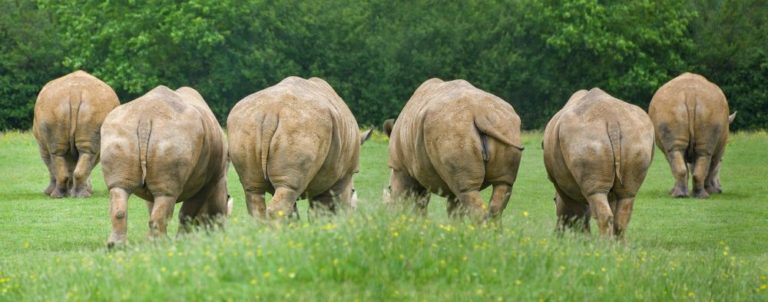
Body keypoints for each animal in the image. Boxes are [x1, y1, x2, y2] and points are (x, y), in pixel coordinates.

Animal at [33, 70, 120, 198]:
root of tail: (75, 92)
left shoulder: (42, 145)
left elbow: (50, 164)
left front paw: (49, 192)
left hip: (60, 107)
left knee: (61, 154)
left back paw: (63, 195)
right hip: (64, 107)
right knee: (79, 152)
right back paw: (76, 195)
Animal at [100, 86, 230, 247]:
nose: (221, 232)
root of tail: (146, 117)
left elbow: (153, 206)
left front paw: (151, 239)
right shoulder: (209, 181)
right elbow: (187, 214)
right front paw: (183, 241)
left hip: (120, 131)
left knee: (119, 188)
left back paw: (116, 246)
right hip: (175, 136)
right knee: (166, 195)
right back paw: (160, 244)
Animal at [226, 76, 370, 219]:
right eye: (353, 192)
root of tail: (272, 111)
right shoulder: (343, 176)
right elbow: (325, 209)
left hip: (245, 124)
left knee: (254, 189)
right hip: (303, 127)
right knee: (287, 189)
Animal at [382, 79, 520, 222]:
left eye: (389, 189)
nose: (387, 213)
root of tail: (480, 113)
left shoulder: (400, 168)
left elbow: (410, 199)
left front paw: (411, 221)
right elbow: (453, 208)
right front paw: (455, 225)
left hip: (452, 132)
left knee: (467, 191)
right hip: (504, 125)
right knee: (502, 185)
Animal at [540, 88, 656, 239]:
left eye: (554, 200)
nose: (557, 233)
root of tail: (611, 120)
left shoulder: (562, 185)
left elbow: (577, 213)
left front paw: (582, 240)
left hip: (585, 138)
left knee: (597, 195)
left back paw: (602, 243)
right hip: (636, 136)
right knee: (627, 196)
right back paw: (617, 244)